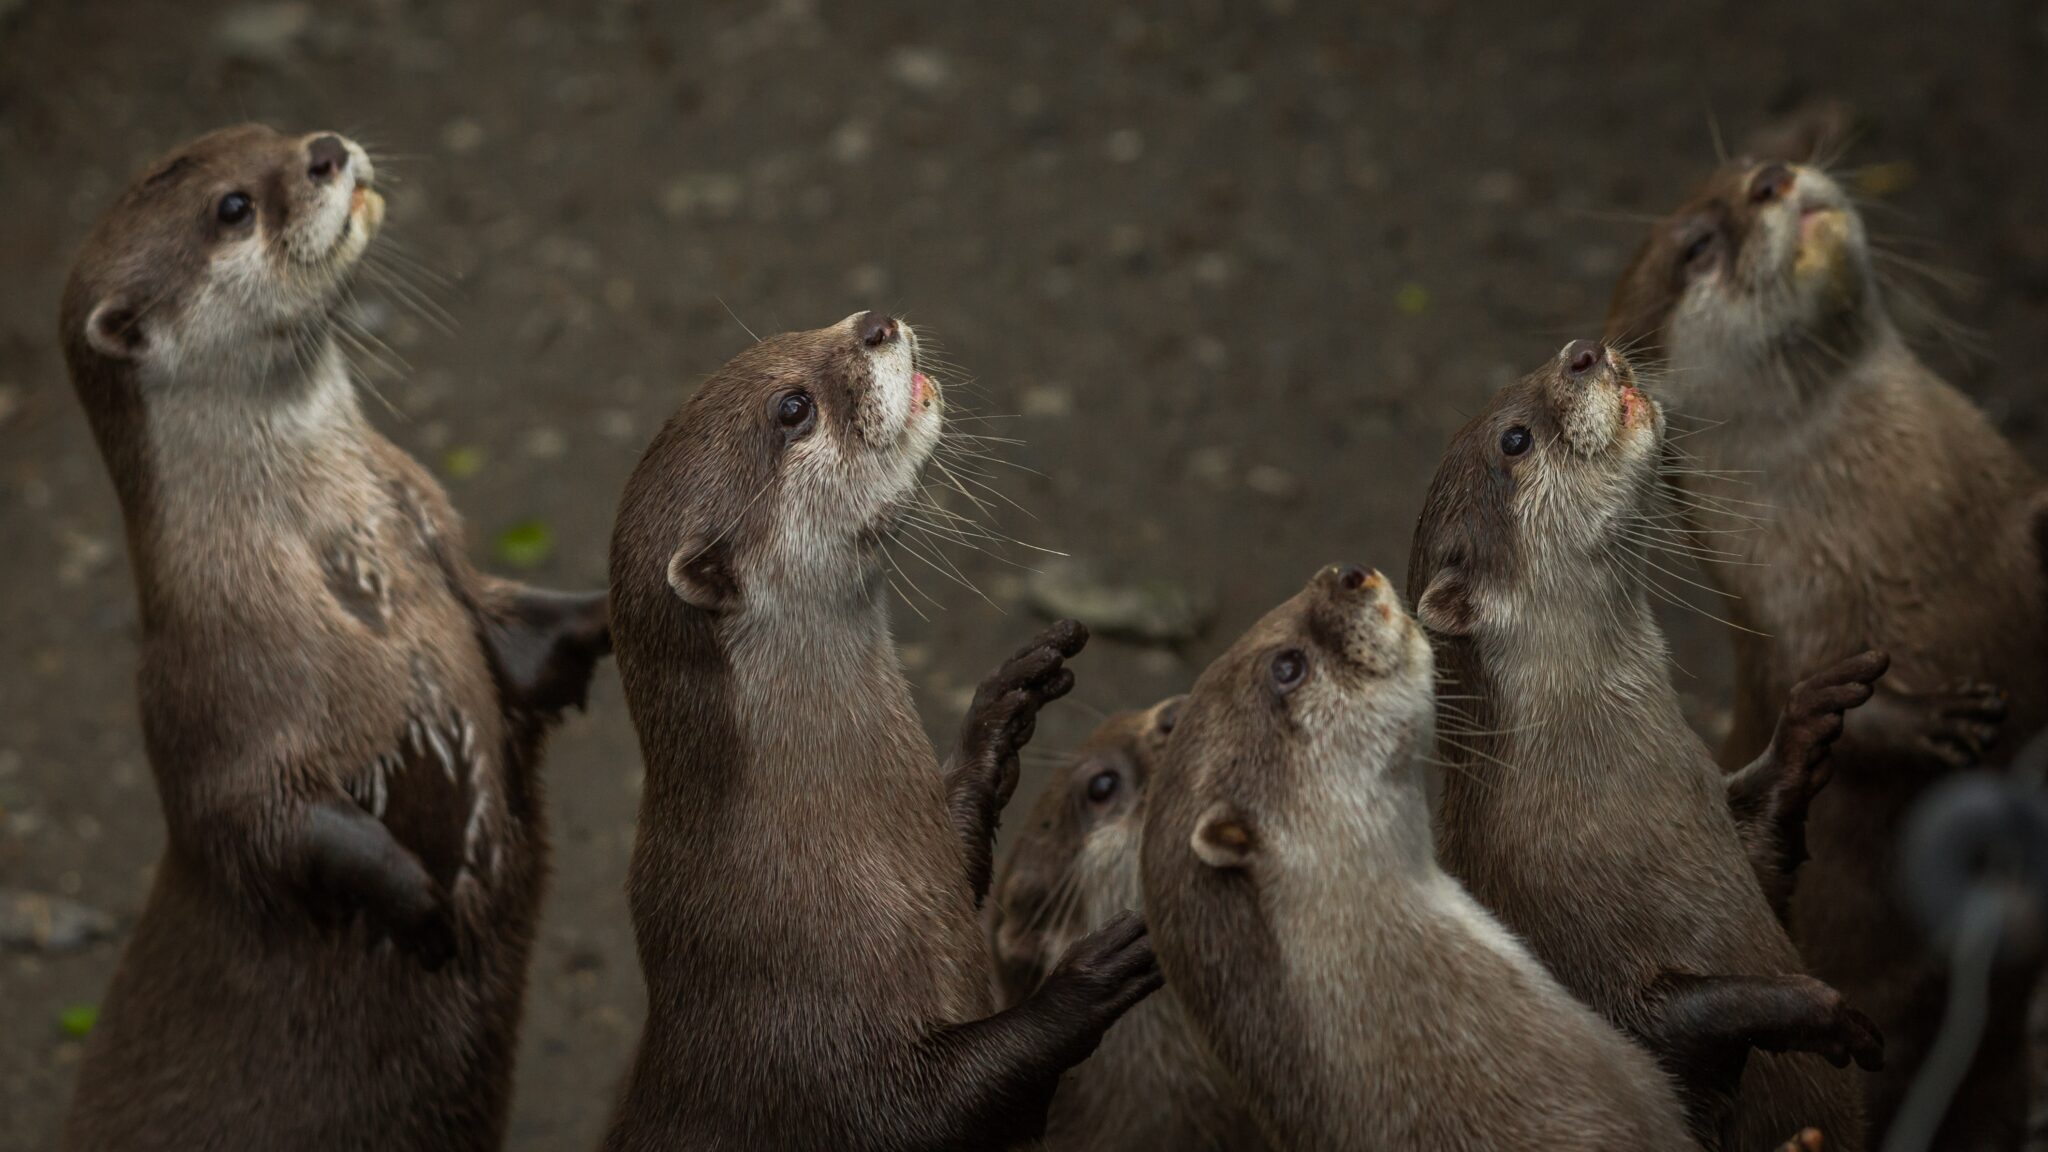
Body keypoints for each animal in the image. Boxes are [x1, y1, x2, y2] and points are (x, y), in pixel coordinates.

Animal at [56, 125, 610, 1151]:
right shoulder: (212, 690)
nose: (323, 150)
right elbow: (259, 820)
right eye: (233, 207)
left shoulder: (447, 559)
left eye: (272, 131)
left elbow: (527, 643)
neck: (339, 559)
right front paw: (425, 910)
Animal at [602, 311, 1161, 1151]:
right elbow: (922, 1109)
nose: (874, 323)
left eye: (793, 334)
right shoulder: (803, 1031)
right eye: (792, 408)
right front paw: (1087, 981)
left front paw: (1001, 713)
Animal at [1407, 342, 1884, 1151]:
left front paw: (1808, 725)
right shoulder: (1559, 929)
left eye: (1553, 361)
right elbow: (1655, 1034)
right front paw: (1813, 1011)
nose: (1582, 352)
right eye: (1514, 440)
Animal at [1607, 138, 2046, 1149]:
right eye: (1697, 246)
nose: (1774, 178)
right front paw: (1940, 719)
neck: (1924, 536)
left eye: (1756, 163)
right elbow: (1822, 708)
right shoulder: (1784, 617)